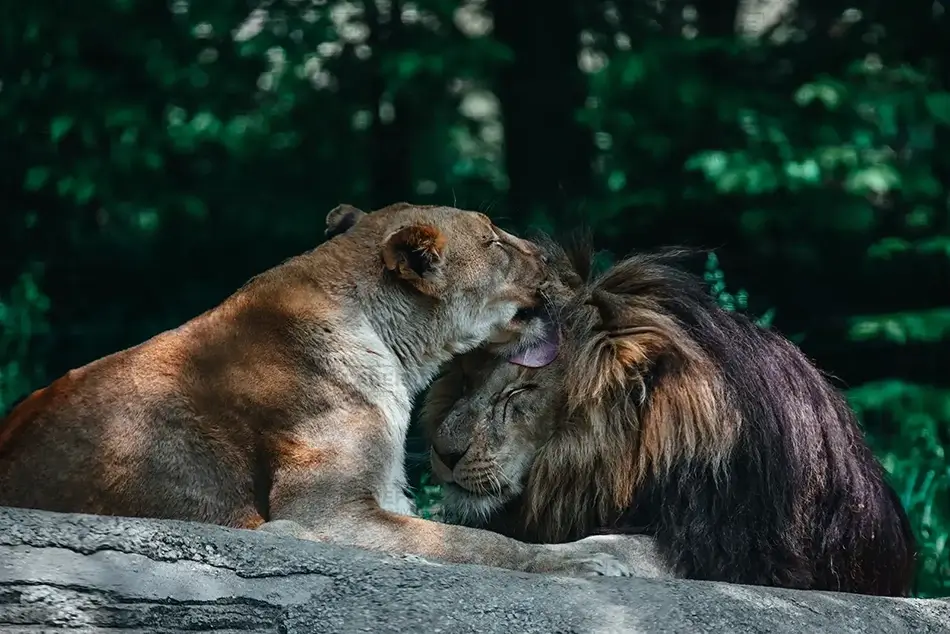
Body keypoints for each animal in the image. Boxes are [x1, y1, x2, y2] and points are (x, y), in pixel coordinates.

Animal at [0, 204, 633, 577]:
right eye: (495, 241)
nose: (551, 256)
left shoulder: (379, 498)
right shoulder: (321, 518)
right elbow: (475, 544)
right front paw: (589, 564)